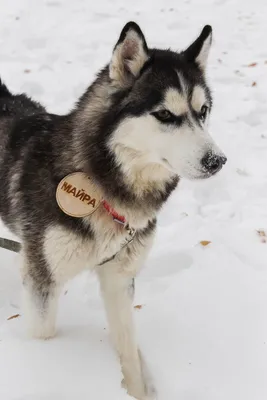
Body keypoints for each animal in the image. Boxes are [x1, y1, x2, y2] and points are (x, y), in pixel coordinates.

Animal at [0, 22, 226, 400]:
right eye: (165, 114)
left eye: (203, 110)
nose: (217, 161)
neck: (103, 185)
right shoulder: (42, 279)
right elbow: (44, 336)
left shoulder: (119, 278)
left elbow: (129, 350)